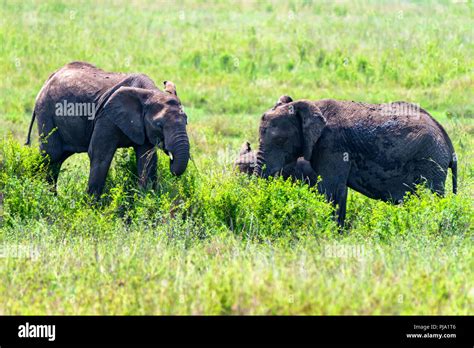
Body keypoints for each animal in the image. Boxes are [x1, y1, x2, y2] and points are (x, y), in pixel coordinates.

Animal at [25, 61, 189, 197]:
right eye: (159, 125)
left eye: (186, 121)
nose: (170, 159)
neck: (149, 91)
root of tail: (49, 78)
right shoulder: (106, 117)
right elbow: (100, 155)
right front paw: (92, 209)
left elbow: (147, 159)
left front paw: (145, 201)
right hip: (46, 112)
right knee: (51, 155)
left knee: (57, 158)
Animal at [254, 94, 458, 228]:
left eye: (280, 140)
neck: (311, 105)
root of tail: (449, 146)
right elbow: (337, 191)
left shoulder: (333, 145)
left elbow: (330, 189)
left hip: (430, 160)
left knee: (431, 196)